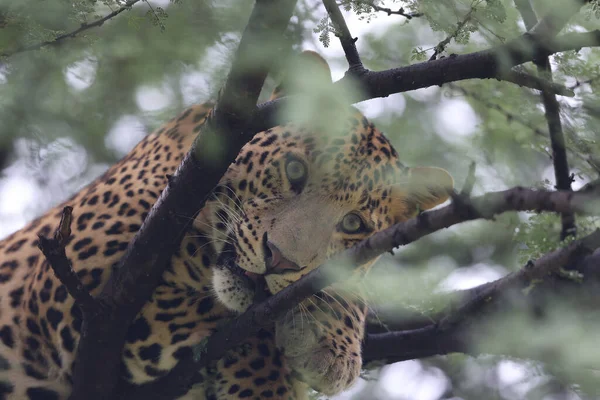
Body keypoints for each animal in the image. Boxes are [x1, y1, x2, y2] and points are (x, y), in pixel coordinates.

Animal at [0, 51, 452, 398]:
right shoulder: (77, 288)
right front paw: (266, 384)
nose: (280, 259)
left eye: (354, 223)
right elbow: (233, 326)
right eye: (295, 170)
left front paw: (332, 345)